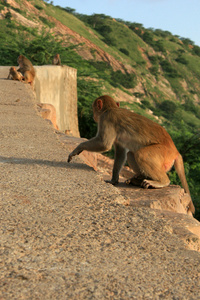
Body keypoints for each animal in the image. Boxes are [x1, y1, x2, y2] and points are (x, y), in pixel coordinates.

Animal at [67, 95, 195, 214]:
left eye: (94, 109)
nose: (94, 116)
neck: (111, 108)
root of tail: (175, 151)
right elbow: (121, 152)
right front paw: (114, 180)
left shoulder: (106, 119)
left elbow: (104, 144)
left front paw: (78, 148)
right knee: (131, 154)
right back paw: (139, 179)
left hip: (163, 152)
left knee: (141, 154)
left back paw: (161, 182)